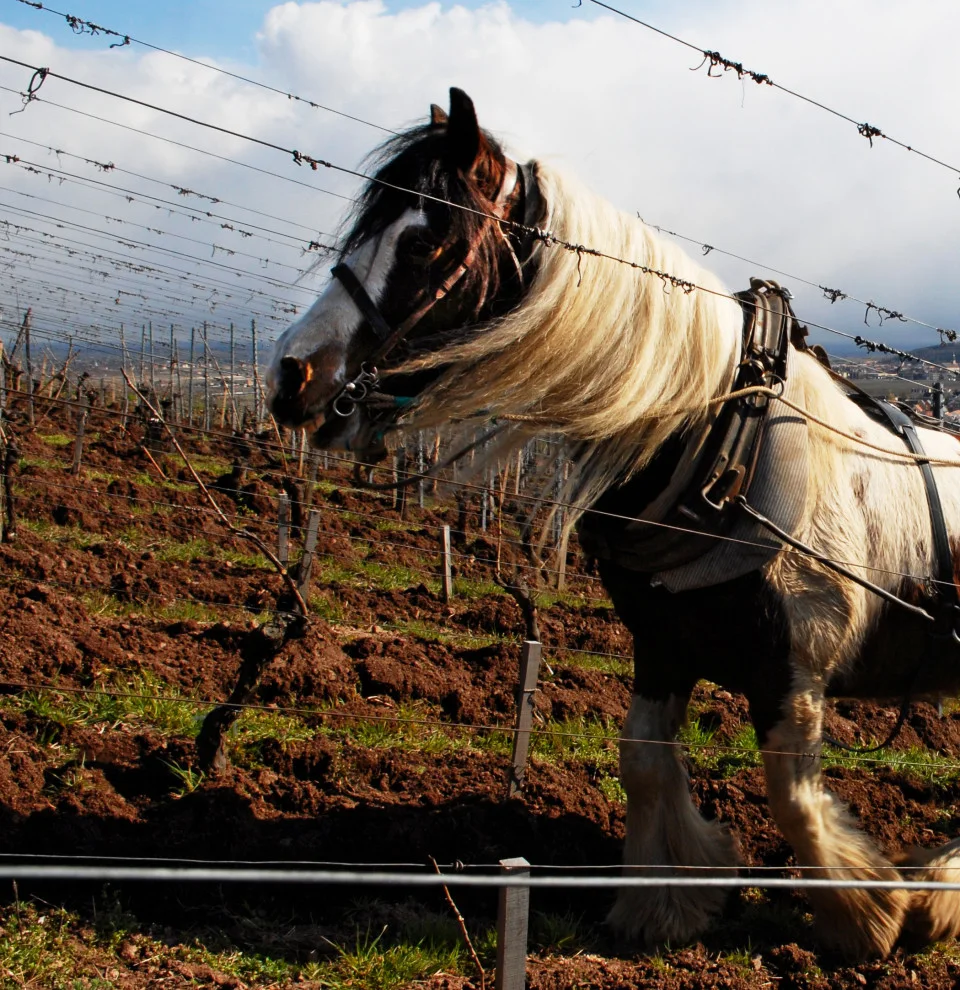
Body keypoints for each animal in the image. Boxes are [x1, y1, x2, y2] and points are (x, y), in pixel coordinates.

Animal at [265, 87, 960, 960]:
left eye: (425, 240)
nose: (290, 374)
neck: (717, 439)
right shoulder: (662, 642)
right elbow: (643, 761)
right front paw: (667, 900)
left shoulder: (794, 668)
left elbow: (792, 796)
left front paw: (866, 916)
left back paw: (935, 893)